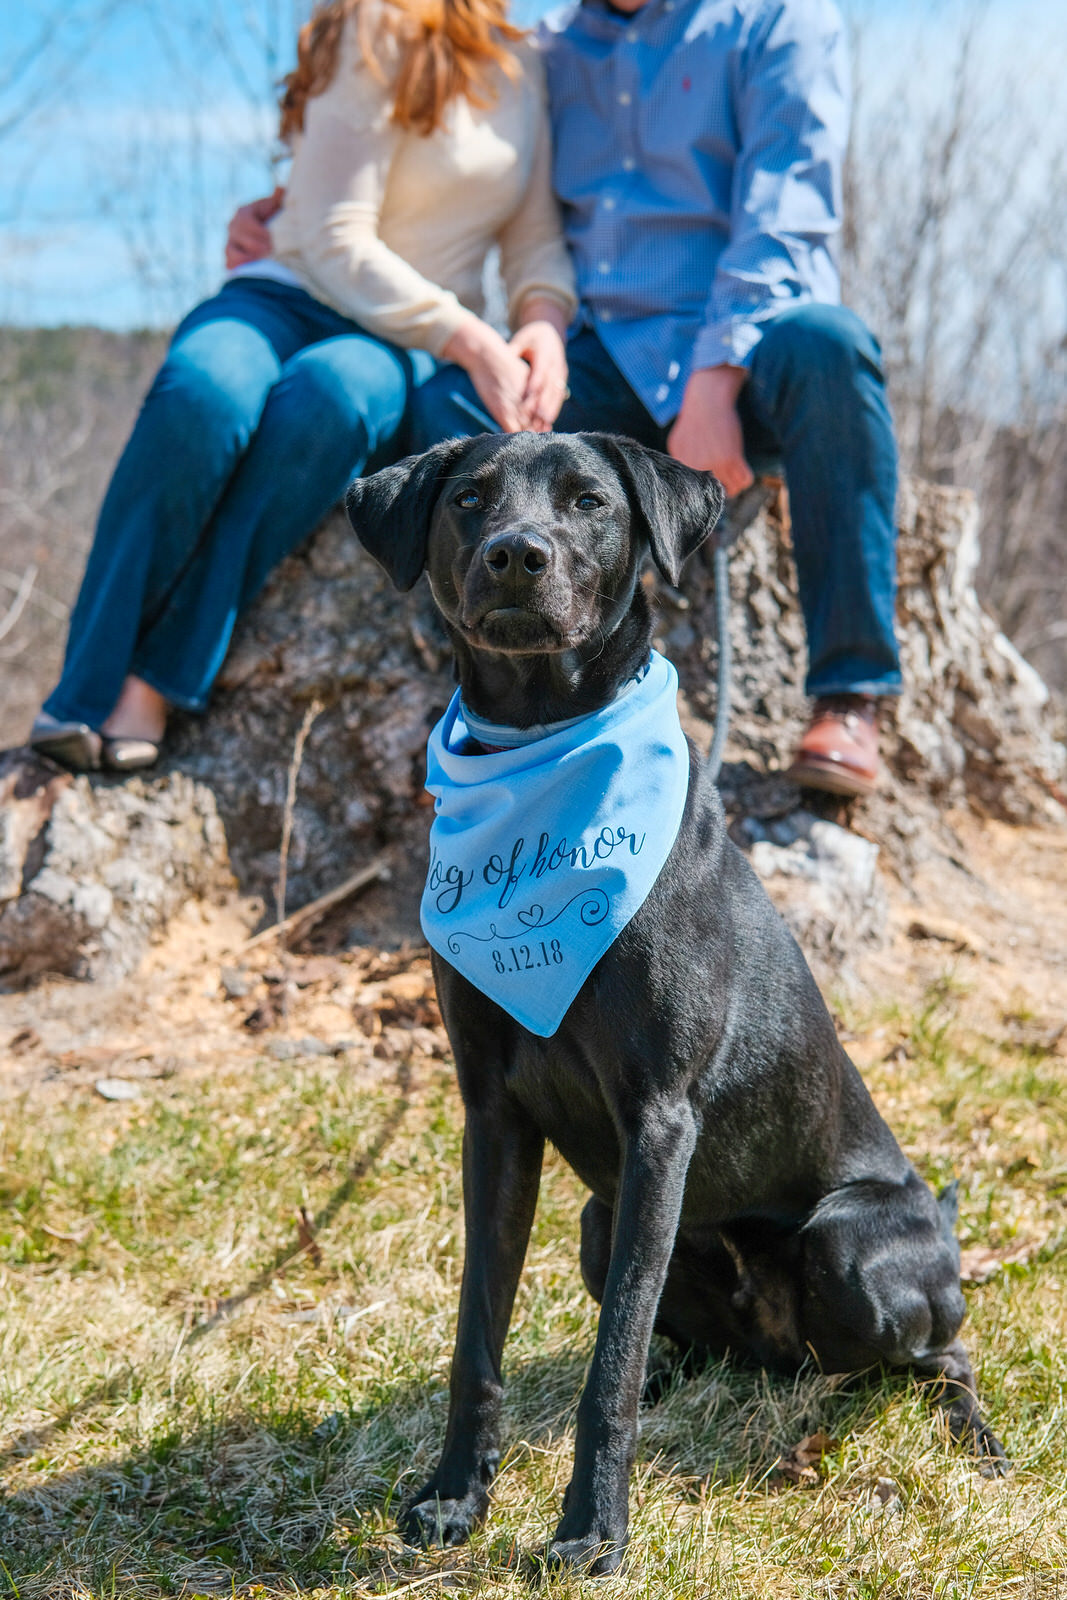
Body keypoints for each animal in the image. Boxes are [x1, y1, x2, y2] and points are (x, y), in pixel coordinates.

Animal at [347, 435, 1004, 1574]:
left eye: (587, 502)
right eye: (468, 498)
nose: (516, 555)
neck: (545, 744)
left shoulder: (658, 1120)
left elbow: (605, 1367)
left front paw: (590, 1531)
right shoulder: (493, 1118)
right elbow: (479, 1335)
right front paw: (454, 1497)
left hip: (851, 1251)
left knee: (940, 1351)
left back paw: (971, 1437)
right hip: (599, 1220)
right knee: (698, 1341)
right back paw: (687, 1378)